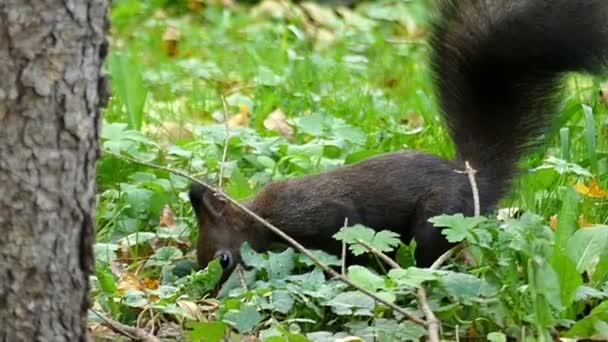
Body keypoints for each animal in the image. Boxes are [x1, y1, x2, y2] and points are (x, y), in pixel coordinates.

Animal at [189, 0, 608, 272]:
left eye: (223, 258)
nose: (215, 291)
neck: (262, 215)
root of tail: (474, 178)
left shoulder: (323, 215)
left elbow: (348, 236)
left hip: (437, 217)